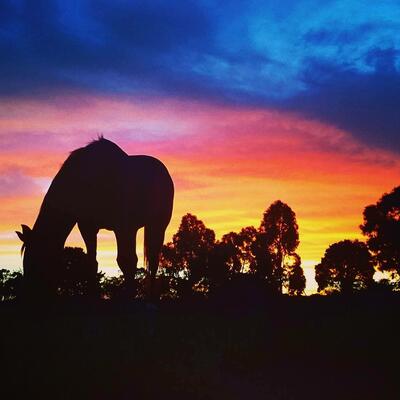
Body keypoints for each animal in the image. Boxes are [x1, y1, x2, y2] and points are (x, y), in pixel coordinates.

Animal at [16, 137, 174, 298]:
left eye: (36, 261)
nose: (27, 293)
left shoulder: (123, 228)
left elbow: (126, 262)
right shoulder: (88, 227)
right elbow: (92, 263)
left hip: (157, 225)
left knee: (153, 261)